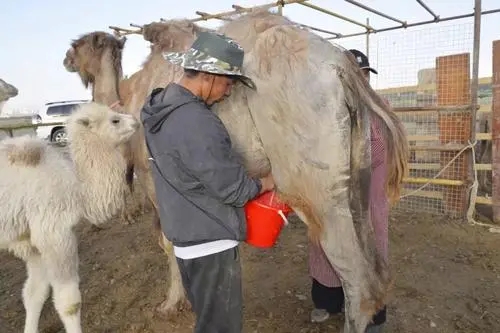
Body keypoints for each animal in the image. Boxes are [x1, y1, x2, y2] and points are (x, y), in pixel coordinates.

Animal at [64, 10, 408, 332]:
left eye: (78, 45)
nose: (66, 59)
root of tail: (342, 67)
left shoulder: (154, 181)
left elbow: (168, 243)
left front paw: (172, 303)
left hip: (312, 175)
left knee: (355, 274)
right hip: (358, 167)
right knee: (376, 268)